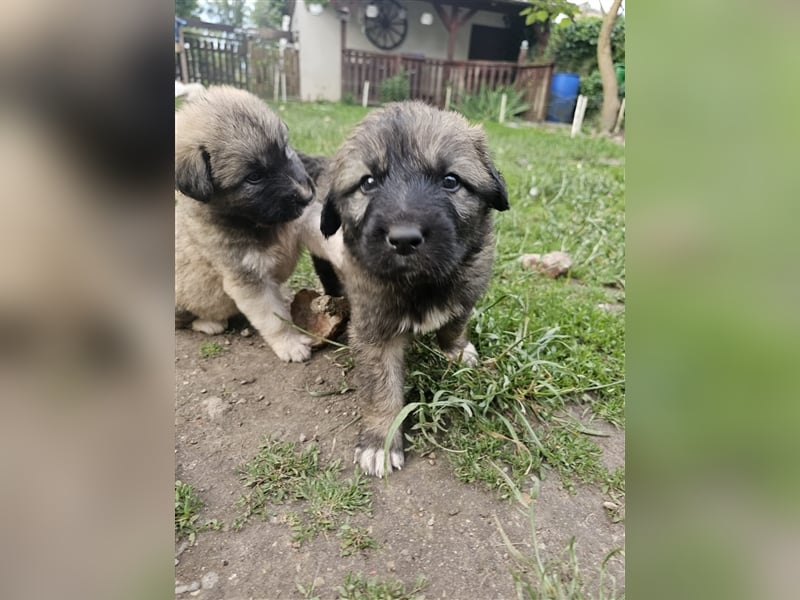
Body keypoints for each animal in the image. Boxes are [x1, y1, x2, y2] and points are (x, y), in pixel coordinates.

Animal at [318, 101, 506, 476]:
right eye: (368, 183)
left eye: (451, 181)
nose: (403, 239)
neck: (420, 283)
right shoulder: (373, 331)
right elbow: (382, 389)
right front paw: (381, 441)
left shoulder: (468, 292)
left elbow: (454, 322)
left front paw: (456, 350)